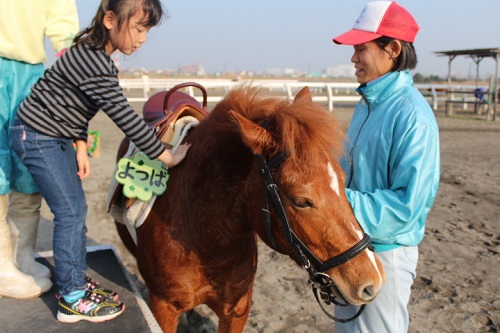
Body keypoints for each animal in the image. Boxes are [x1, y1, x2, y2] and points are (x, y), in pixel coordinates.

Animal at [115, 85, 384, 332]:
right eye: (300, 201)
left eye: (342, 180)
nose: (372, 280)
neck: (205, 240)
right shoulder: (163, 310)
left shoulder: (236, 310)